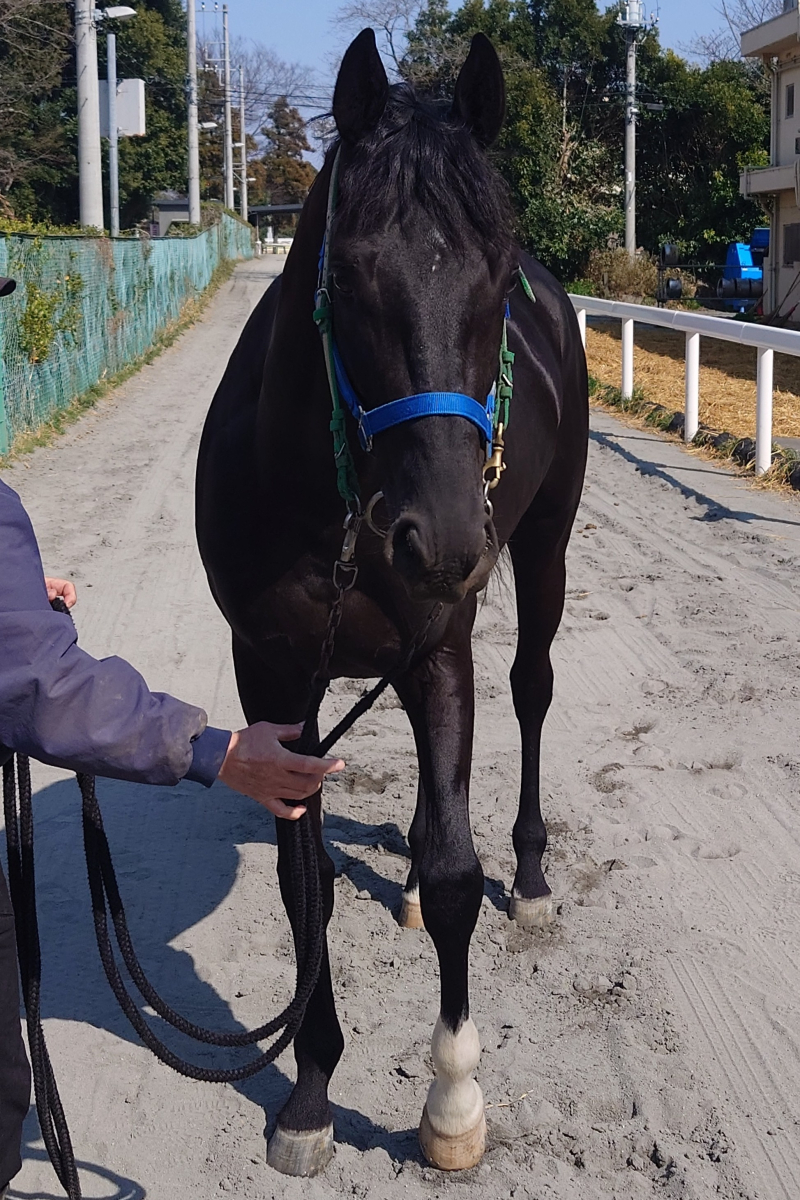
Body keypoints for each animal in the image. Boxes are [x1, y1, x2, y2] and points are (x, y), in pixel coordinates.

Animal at [195, 28, 588, 1178]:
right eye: (353, 273)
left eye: (496, 273)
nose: (445, 538)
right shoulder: (274, 678)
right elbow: (304, 880)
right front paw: (310, 1090)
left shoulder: (439, 651)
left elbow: (459, 874)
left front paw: (452, 1102)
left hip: (541, 550)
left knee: (532, 690)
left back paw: (531, 880)